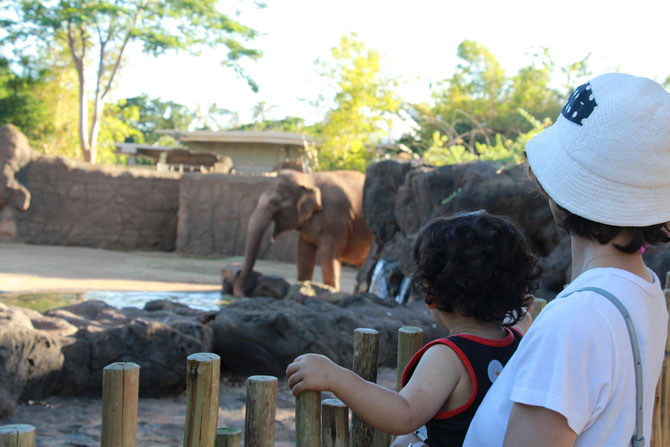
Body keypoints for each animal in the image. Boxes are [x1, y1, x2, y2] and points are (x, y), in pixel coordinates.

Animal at [235, 171, 372, 298]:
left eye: (275, 202)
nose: (244, 293)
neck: (307, 179)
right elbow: (303, 253)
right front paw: (304, 288)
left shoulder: (335, 222)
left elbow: (328, 255)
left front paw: (330, 291)